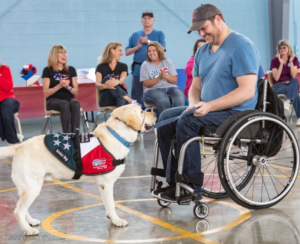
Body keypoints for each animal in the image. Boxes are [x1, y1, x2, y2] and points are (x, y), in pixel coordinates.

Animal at [0, 104, 156, 235]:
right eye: (141, 111)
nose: (155, 113)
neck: (117, 135)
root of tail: (19, 146)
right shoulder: (106, 184)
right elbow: (111, 204)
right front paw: (117, 220)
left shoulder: (102, 185)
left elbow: (107, 205)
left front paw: (111, 219)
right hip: (32, 187)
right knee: (18, 211)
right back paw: (28, 230)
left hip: (27, 187)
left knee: (20, 206)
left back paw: (30, 222)